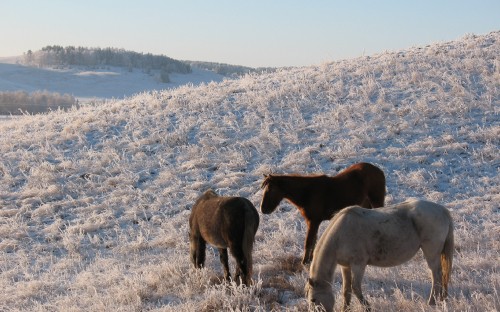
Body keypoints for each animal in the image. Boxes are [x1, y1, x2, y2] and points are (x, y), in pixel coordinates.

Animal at [304, 199, 454, 310]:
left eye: (313, 299)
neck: (340, 235)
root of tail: (442, 210)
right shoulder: (345, 266)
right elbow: (346, 291)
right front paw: (344, 309)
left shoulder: (358, 265)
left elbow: (355, 288)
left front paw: (367, 308)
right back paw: (441, 300)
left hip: (431, 252)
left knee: (436, 276)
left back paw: (432, 302)